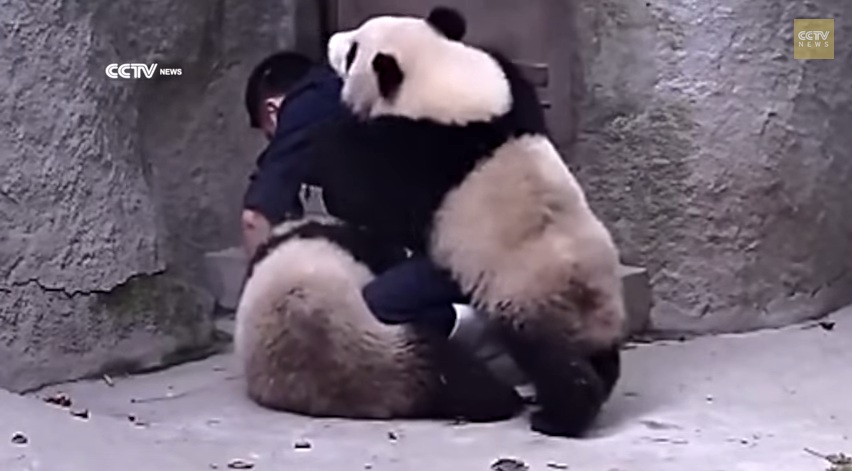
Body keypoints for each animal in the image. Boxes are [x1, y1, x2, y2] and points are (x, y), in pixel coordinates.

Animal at [314, 6, 627, 437]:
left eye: (352, 52)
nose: (331, 42)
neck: (439, 75)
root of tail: (591, 301)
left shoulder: (415, 151)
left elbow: (363, 195)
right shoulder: (509, 93)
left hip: (527, 296)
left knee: (552, 361)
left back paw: (559, 417)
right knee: (601, 357)